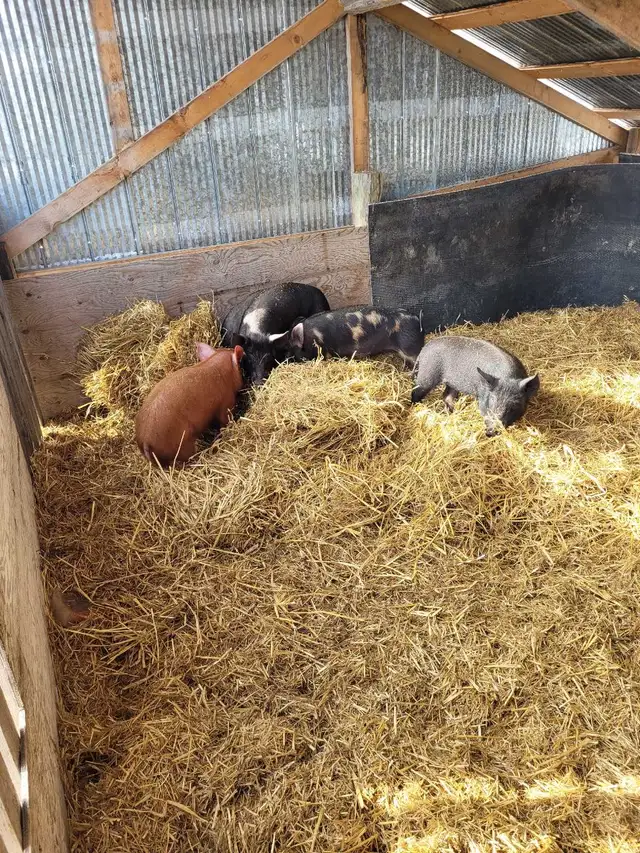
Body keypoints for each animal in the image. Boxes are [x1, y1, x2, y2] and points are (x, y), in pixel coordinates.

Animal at [411, 336, 539, 436]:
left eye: (515, 404)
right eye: (492, 400)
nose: (491, 431)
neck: (508, 376)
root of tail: (424, 349)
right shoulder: (482, 398)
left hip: (452, 383)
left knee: (446, 396)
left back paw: (452, 412)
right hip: (427, 374)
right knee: (416, 391)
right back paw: (418, 406)